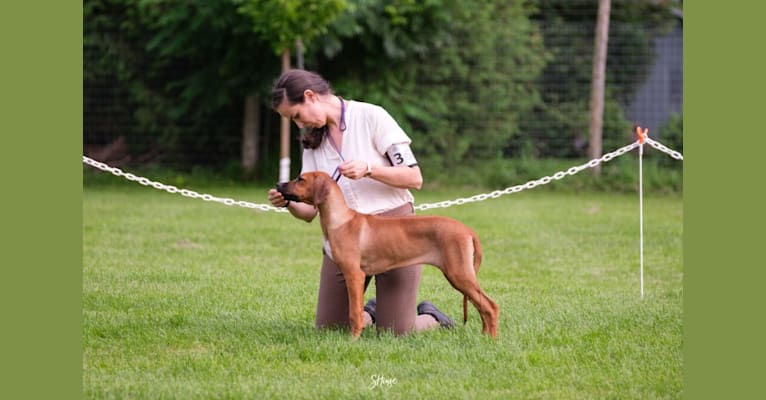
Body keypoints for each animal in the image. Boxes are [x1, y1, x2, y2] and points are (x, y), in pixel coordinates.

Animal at [280, 170, 500, 340]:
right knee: (481, 306)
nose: (278, 184)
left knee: (490, 306)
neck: (340, 220)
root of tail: (467, 230)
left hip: (459, 273)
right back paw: (484, 335)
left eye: (300, 179)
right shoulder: (358, 276)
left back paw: (490, 340)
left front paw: (353, 340)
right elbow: (357, 311)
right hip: (461, 275)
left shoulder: (354, 274)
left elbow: (354, 313)